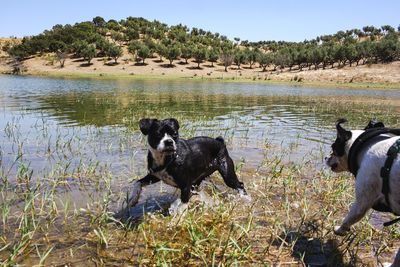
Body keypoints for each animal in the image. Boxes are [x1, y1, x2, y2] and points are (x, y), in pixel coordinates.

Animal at [324, 120, 400, 267]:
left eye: (334, 148)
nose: (325, 157)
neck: (364, 146)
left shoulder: (361, 203)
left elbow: (349, 219)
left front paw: (339, 230)